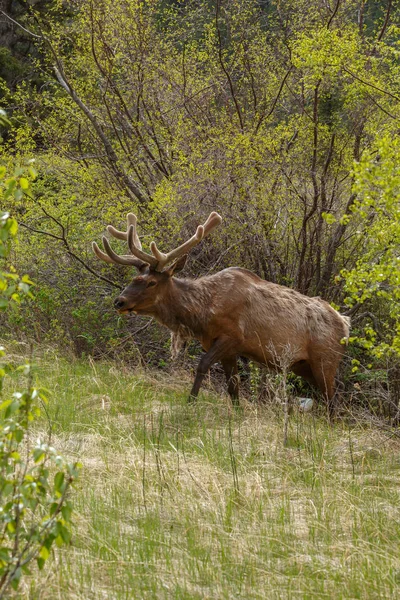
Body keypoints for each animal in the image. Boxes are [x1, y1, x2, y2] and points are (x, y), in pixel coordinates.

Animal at [92, 211, 348, 408]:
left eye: (151, 282)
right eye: (134, 278)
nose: (119, 302)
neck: (202, 315)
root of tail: (345, 323)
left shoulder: (232, 336)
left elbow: (203, 365)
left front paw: (190, 402)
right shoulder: (227, 349)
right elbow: (233, 386)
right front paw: (237, 414)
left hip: (325, 359)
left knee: (332, 400)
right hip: (303, 365)